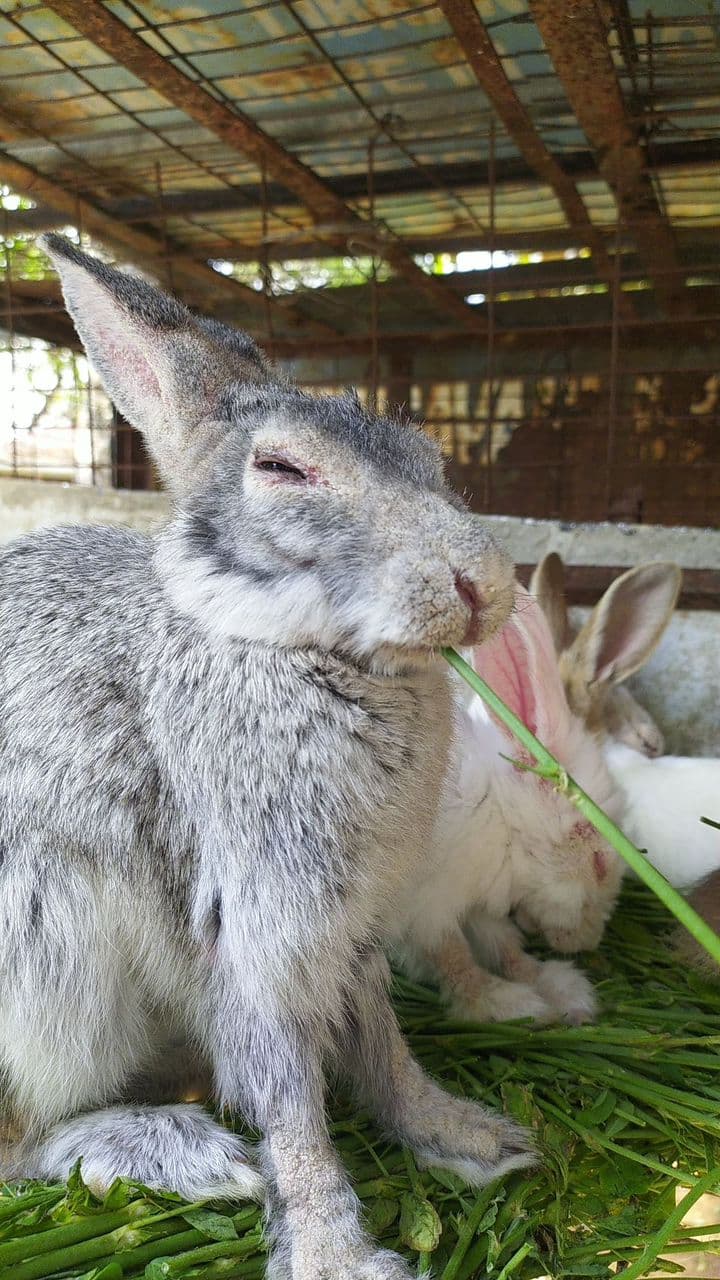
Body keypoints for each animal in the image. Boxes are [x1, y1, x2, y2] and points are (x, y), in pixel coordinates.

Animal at [0, 234, 534, 1280]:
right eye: (285, 469)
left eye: (430, 458)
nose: (483, 587)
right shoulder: (262, 925)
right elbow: (290, 1096)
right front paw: (338, 1256)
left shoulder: (353, 928)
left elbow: (384, 1047)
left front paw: (473, 1139)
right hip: (43, 952)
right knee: (14, 1145)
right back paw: (178, 1153)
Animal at [395, 585, 626, 1027]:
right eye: (599, 863)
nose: (586, 942)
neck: (498, 813)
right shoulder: (425, 910)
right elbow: (453, 959)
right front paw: (507, 1004)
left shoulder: (479, 909)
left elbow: (505, 948)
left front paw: (564, 992)